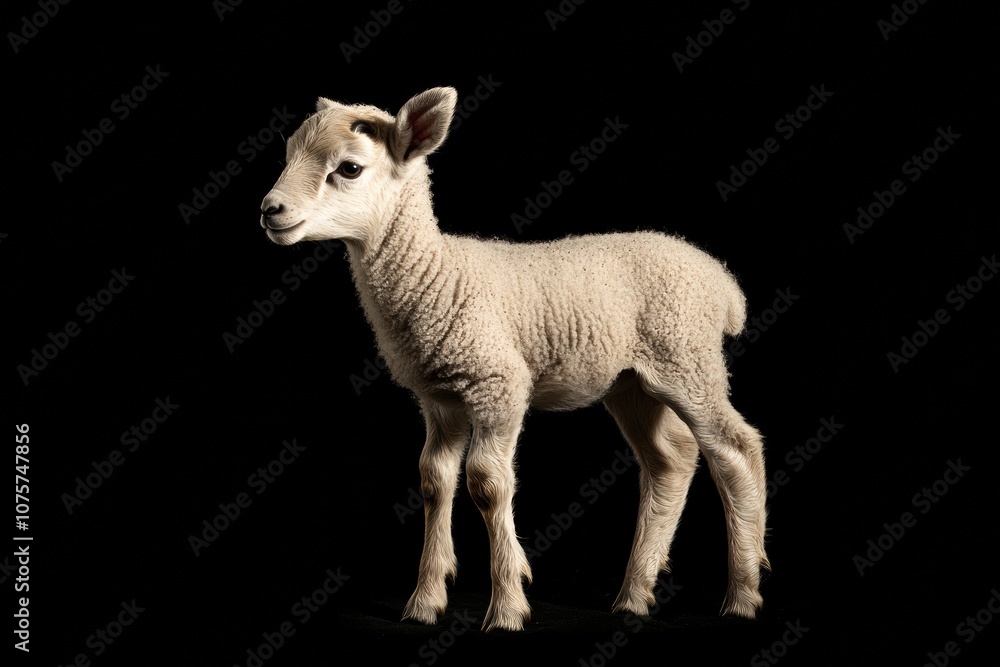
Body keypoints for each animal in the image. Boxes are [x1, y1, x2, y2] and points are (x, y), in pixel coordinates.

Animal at [259, 86, 769, 632]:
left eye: (350, 168)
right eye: (288, 155)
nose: (270, 209)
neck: (438, 272)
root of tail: (722, 282)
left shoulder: (498, 384)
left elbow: (486, 483)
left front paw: (506, 605)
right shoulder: (440, 397)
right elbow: (433, 480)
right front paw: (424, 602)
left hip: (687, 357)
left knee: (735, 451)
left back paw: (743, 593)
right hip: (634, 383)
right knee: (670, 461)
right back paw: (634, 593)